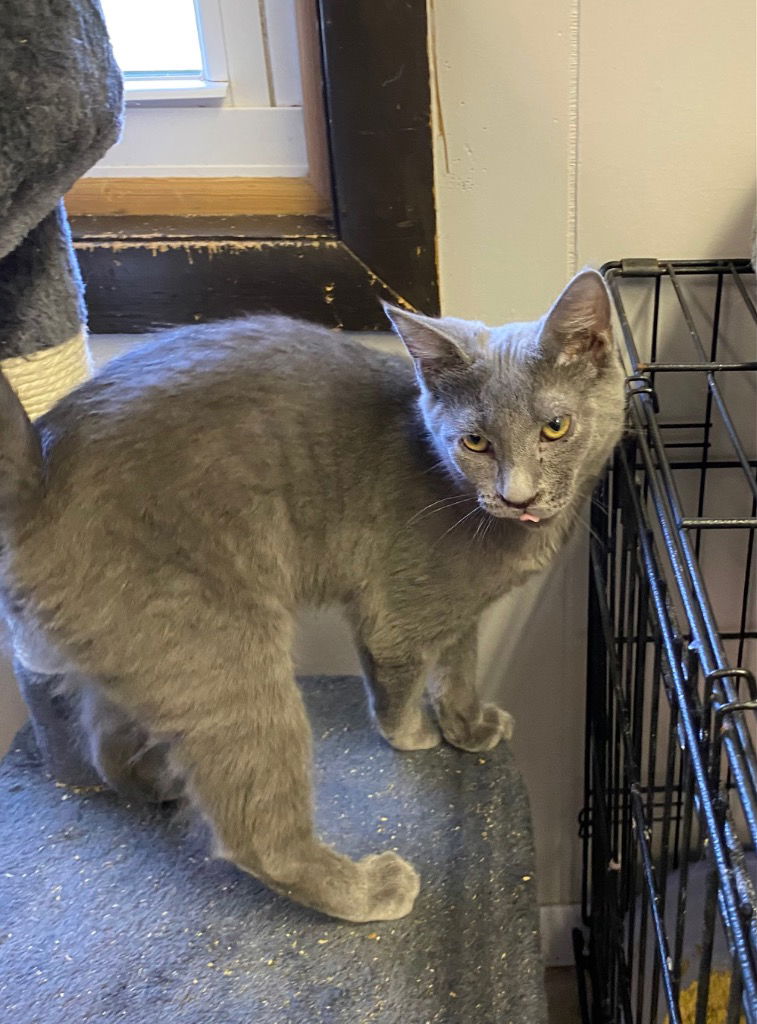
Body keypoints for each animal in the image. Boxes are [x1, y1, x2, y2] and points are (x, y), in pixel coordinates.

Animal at [0, 268, 622, 925]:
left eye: (555, 428)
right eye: (475, 442)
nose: (515, 496)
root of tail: (39, 477)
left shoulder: (460, 611)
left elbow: (458, 667)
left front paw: (468, 725)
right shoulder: (399, 609)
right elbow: (399, 681)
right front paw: (413, 736)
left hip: (136, 647)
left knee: (107, 740)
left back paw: (162, 782)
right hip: (219, 651)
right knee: (255, 832)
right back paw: (368, 888)